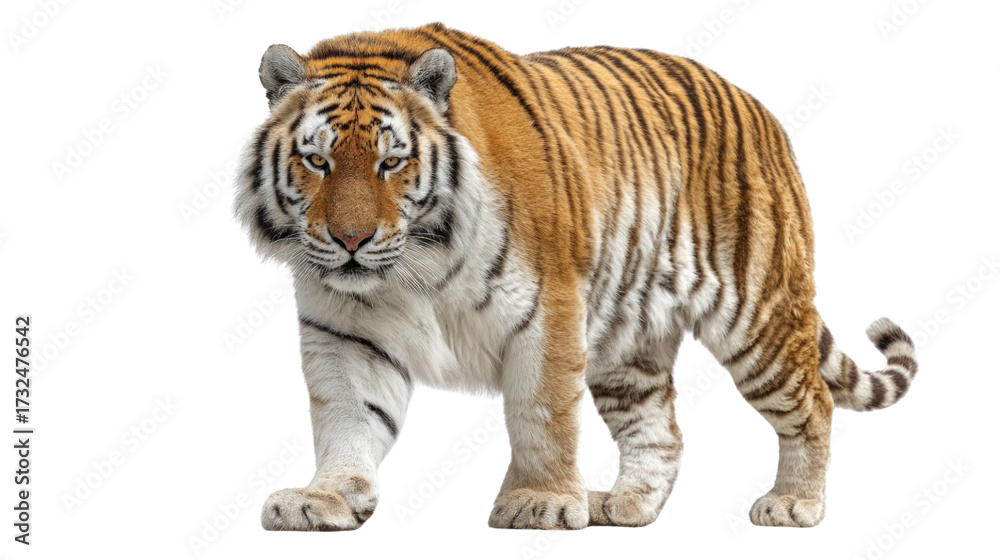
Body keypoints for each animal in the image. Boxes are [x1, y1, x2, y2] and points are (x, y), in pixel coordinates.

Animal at [233, 22, 917, 531]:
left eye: (391, 163)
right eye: (317, 160)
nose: (350, 240)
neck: (412, 268)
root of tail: (761, 111)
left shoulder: (549, 306)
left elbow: (542, 413)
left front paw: (540, 500)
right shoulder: (345, 331)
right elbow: (348, 416)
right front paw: (324, 497)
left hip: (757, 316)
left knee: (813, 403)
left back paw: (794, 504)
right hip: (627, 348)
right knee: (661, 431)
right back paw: (623, 505)